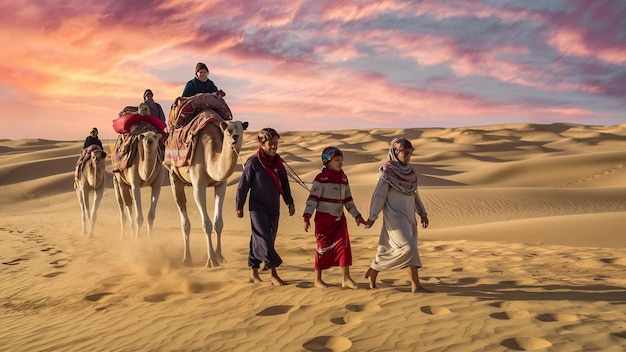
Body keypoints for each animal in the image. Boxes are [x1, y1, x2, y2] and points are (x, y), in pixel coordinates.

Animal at [167, 109, 247, 266]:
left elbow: (218, 223)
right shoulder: (198, 186)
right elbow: (206, 224)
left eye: (241, 129)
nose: (235, 137)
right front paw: (211, 260)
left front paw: (220, 256)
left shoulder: (221, 185)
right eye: (228, 130)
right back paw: (187, 258)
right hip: (174, 176)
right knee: (185, 222)